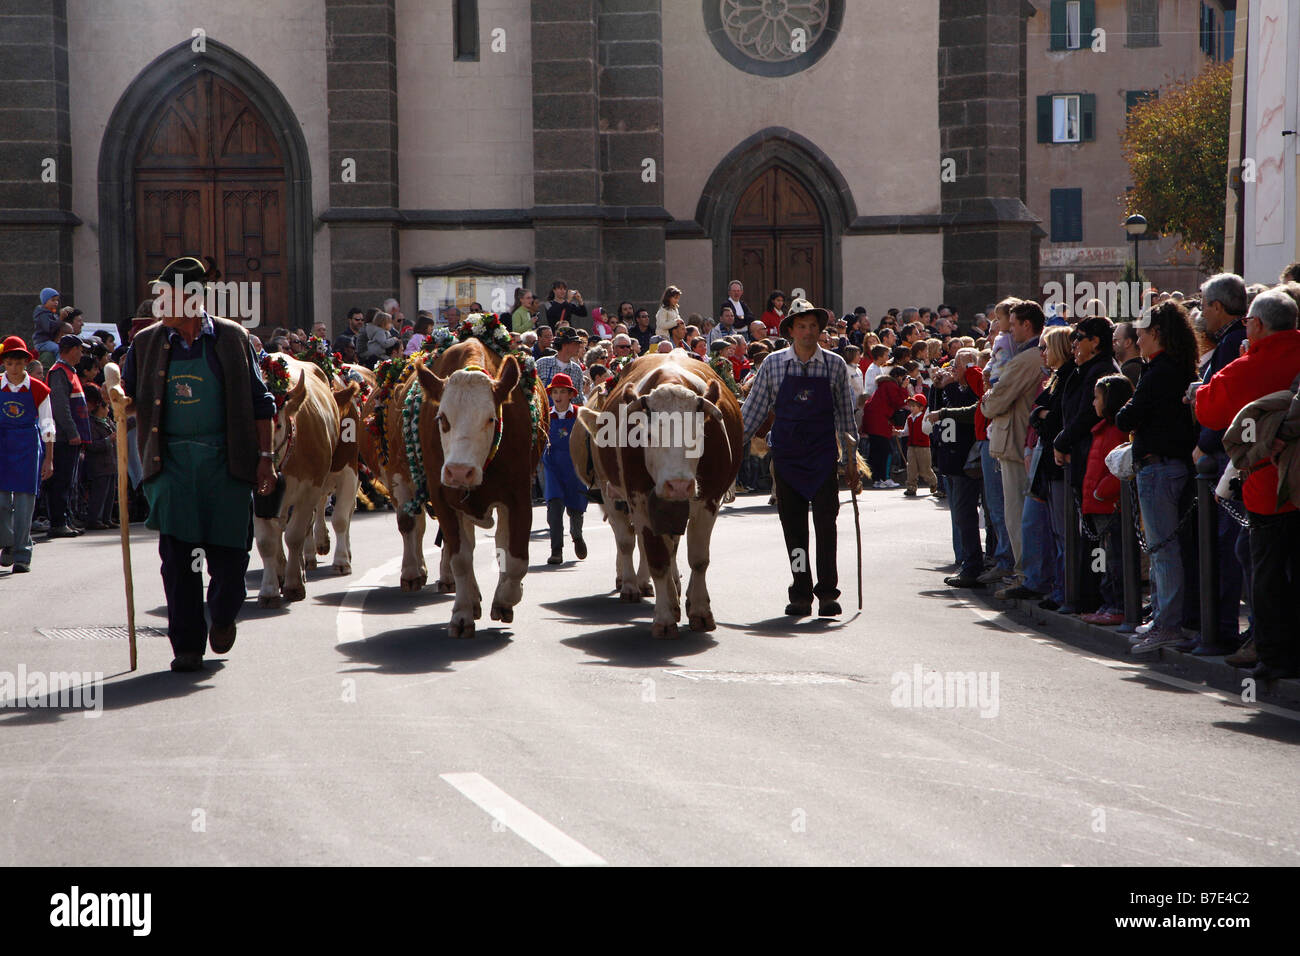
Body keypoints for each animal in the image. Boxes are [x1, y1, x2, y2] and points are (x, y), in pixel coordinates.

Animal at [577, 356, 748, 639]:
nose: (678, 485)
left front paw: (700, 611)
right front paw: (665, 617)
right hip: (612, 495)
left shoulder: (709, 500)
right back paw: (633, 586)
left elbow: (698, 559)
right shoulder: (639, 501)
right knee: (629, 542)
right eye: (647, 435)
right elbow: (657, 557)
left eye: (699, 434)